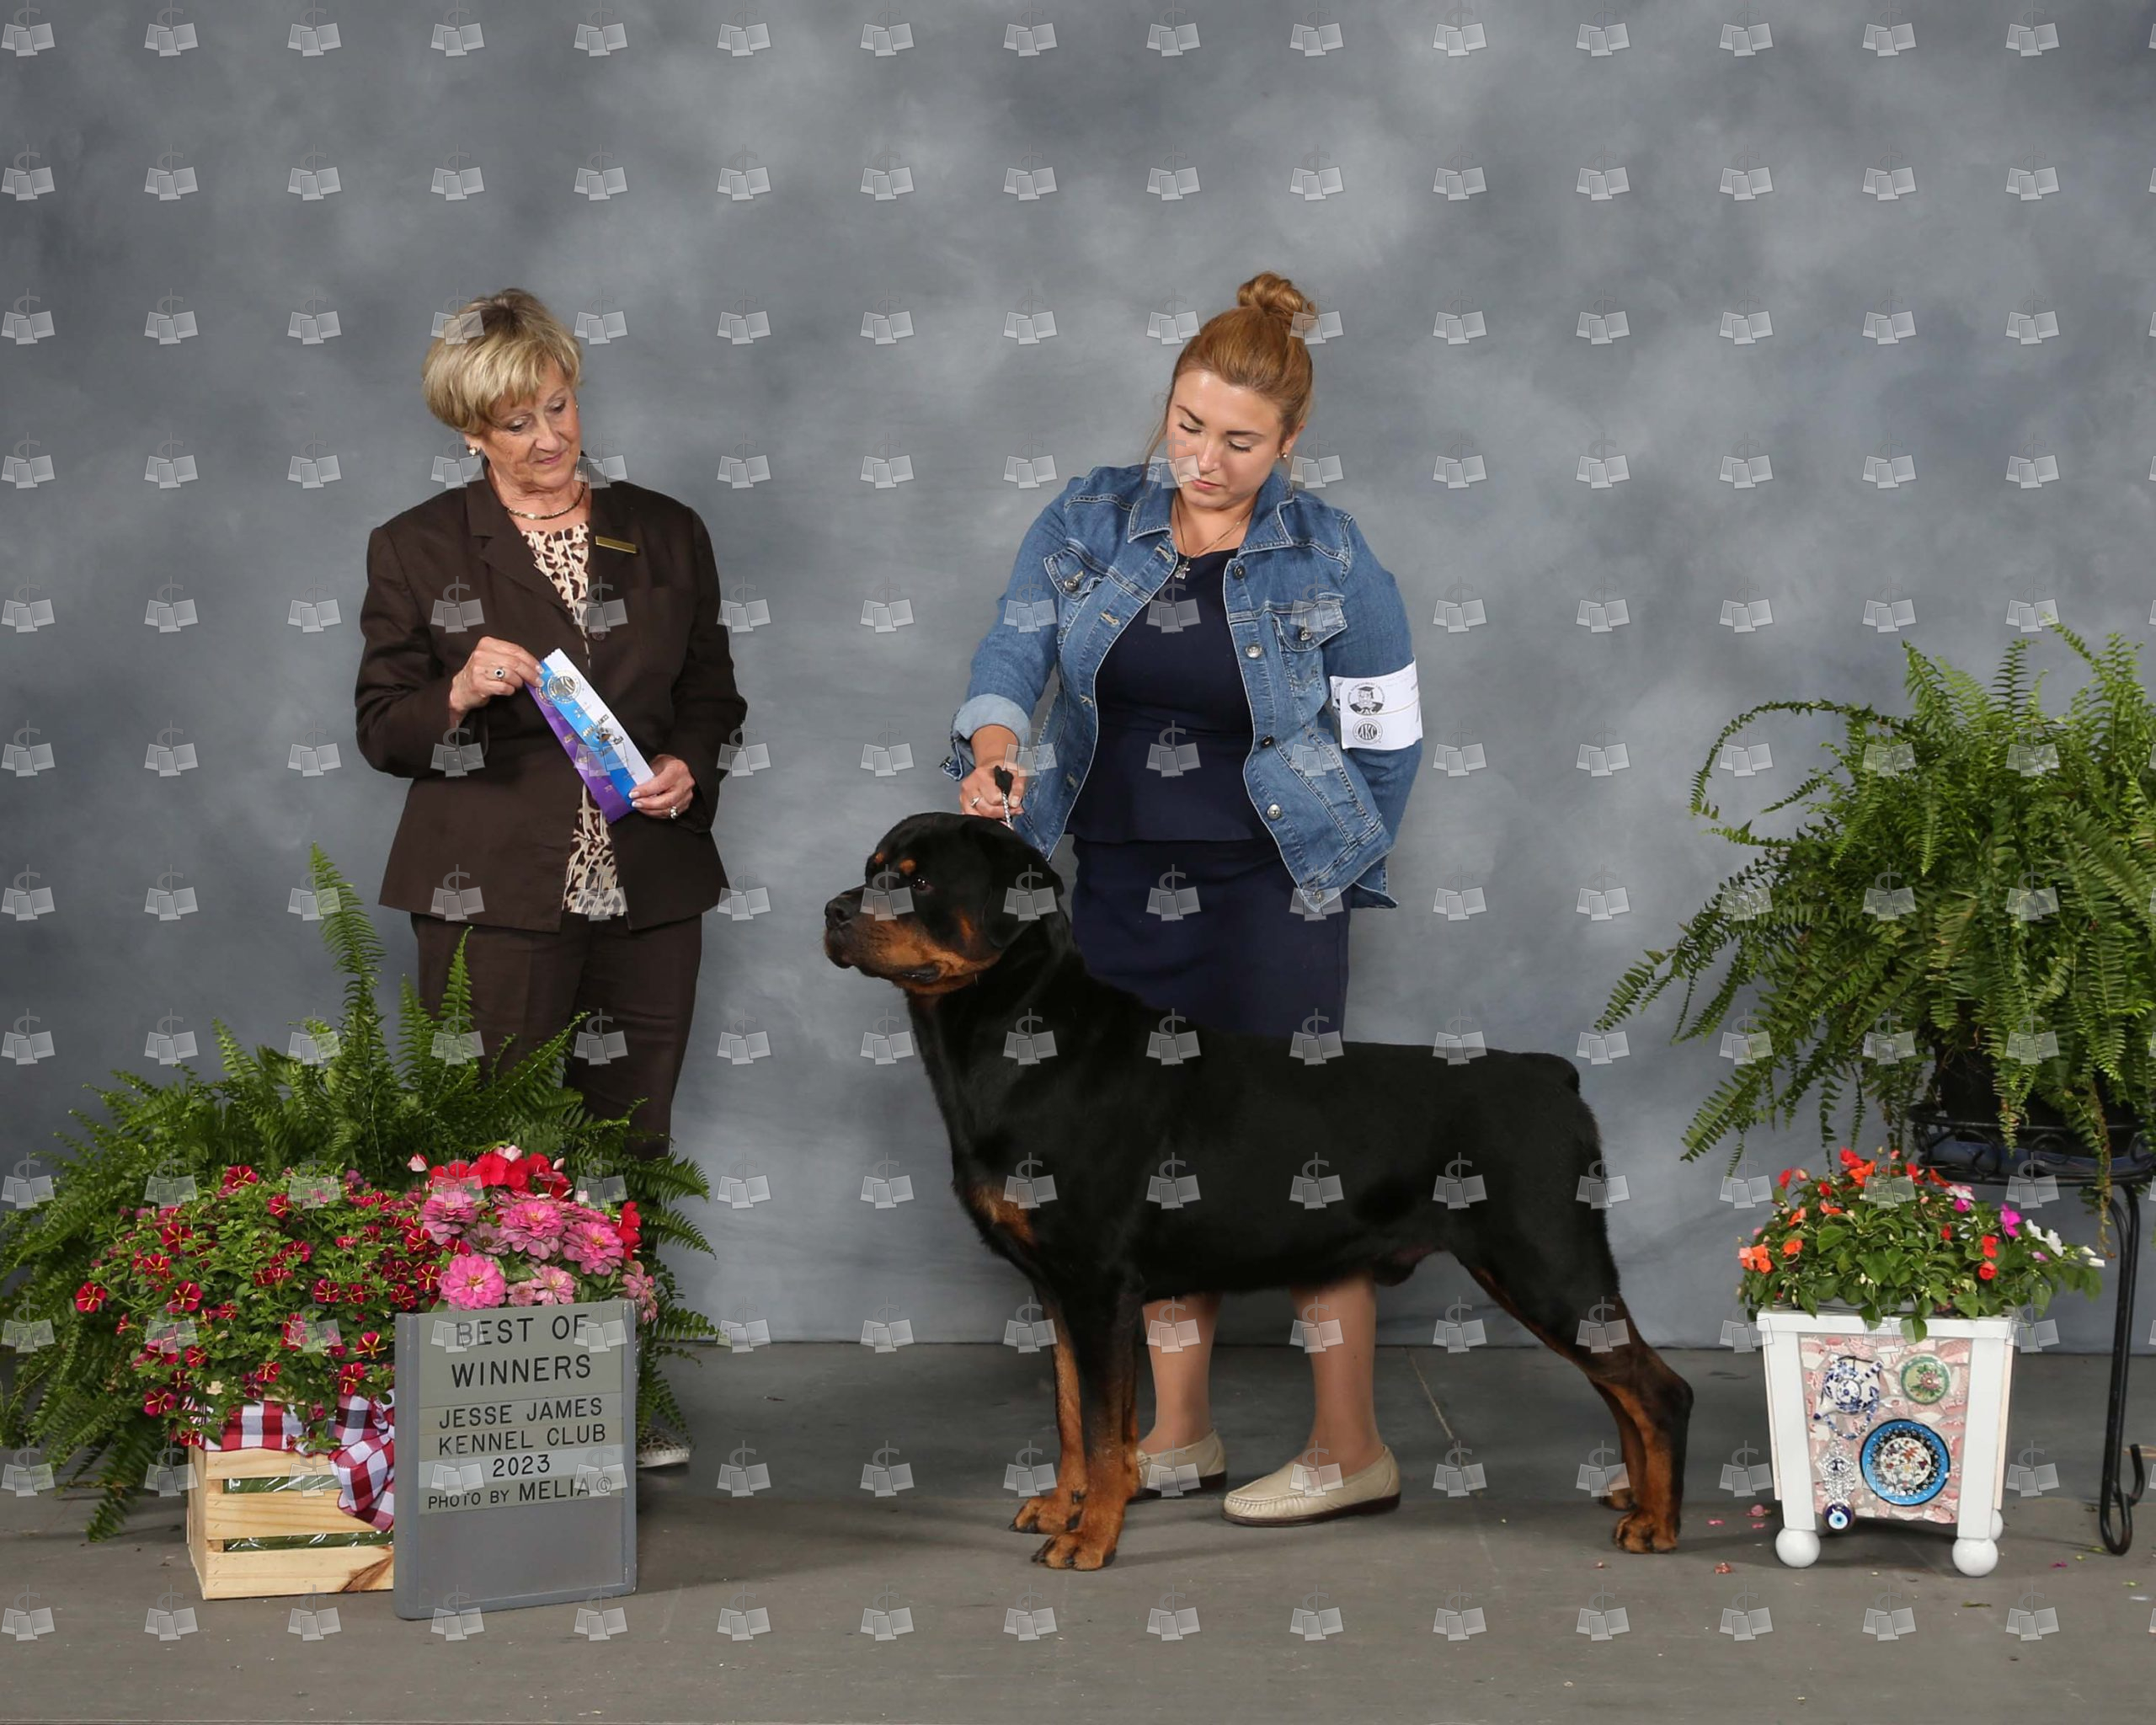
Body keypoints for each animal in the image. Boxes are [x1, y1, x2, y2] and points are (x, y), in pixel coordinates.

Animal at [822, 810, 1694, 1570]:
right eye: (872, 869)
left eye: (918, 880)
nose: (832, 911)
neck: (1020, 1038)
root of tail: (1554, 1075)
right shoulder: (1058, 1292)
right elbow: (1073, 1416)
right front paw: (1062, 1506)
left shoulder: (1099, 1285)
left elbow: (1103, 1433)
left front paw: (1090, 1537)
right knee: (1619, 1387)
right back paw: (1634, 1496)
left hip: (1544, 1260)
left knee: (1658, 1389)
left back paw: (1658, 1521)